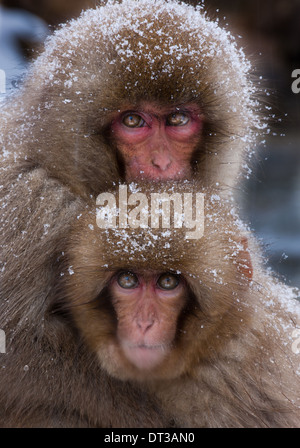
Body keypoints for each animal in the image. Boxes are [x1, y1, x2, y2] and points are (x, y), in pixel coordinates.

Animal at [0, 0, 298, 428]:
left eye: (177, 119)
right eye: (133, 121)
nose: (161, 164)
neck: (57, 165)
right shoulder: (34, 210)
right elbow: (20, 353)